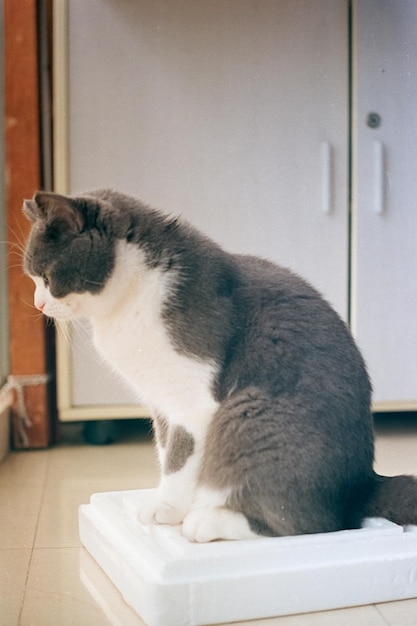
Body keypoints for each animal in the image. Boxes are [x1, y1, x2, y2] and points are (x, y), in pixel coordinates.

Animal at [22, 189, 416, 540]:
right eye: (33, 279)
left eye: (47, 277)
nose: (38, 304)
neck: (129, 299)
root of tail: (363, 482)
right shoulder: (160, 403)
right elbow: (166, 453)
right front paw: (170, 500)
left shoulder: (192, 400)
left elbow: (180, 458)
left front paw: (166, 508)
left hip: (247, 415)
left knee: (311, 524)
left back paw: (208, 521)